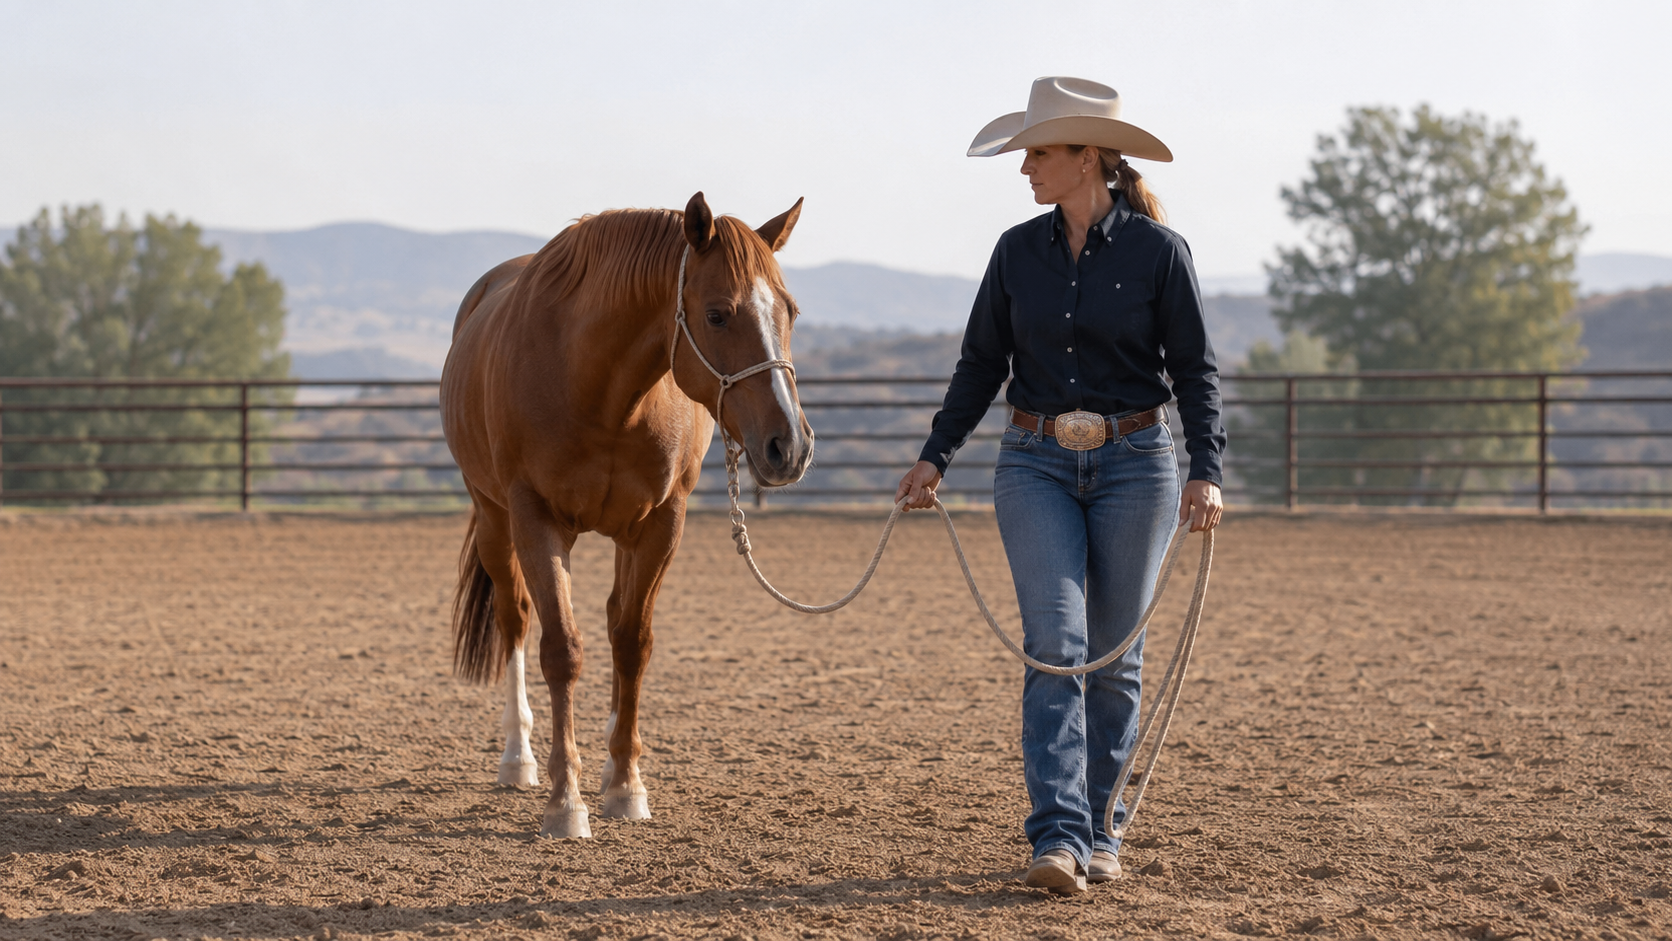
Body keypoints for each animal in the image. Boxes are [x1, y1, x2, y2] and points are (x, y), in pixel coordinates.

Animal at [440, 192, 814, 838]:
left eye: (788, 310)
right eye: (717, 315)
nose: (788, 445)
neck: (600, 390)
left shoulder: (661, 522)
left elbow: (633, 641)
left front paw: (625, 785)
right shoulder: (534, 518)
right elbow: (561, 650)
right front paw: (566, 803)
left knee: (618, 619)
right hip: (492, 517)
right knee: (515, 621)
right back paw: (518, 758)